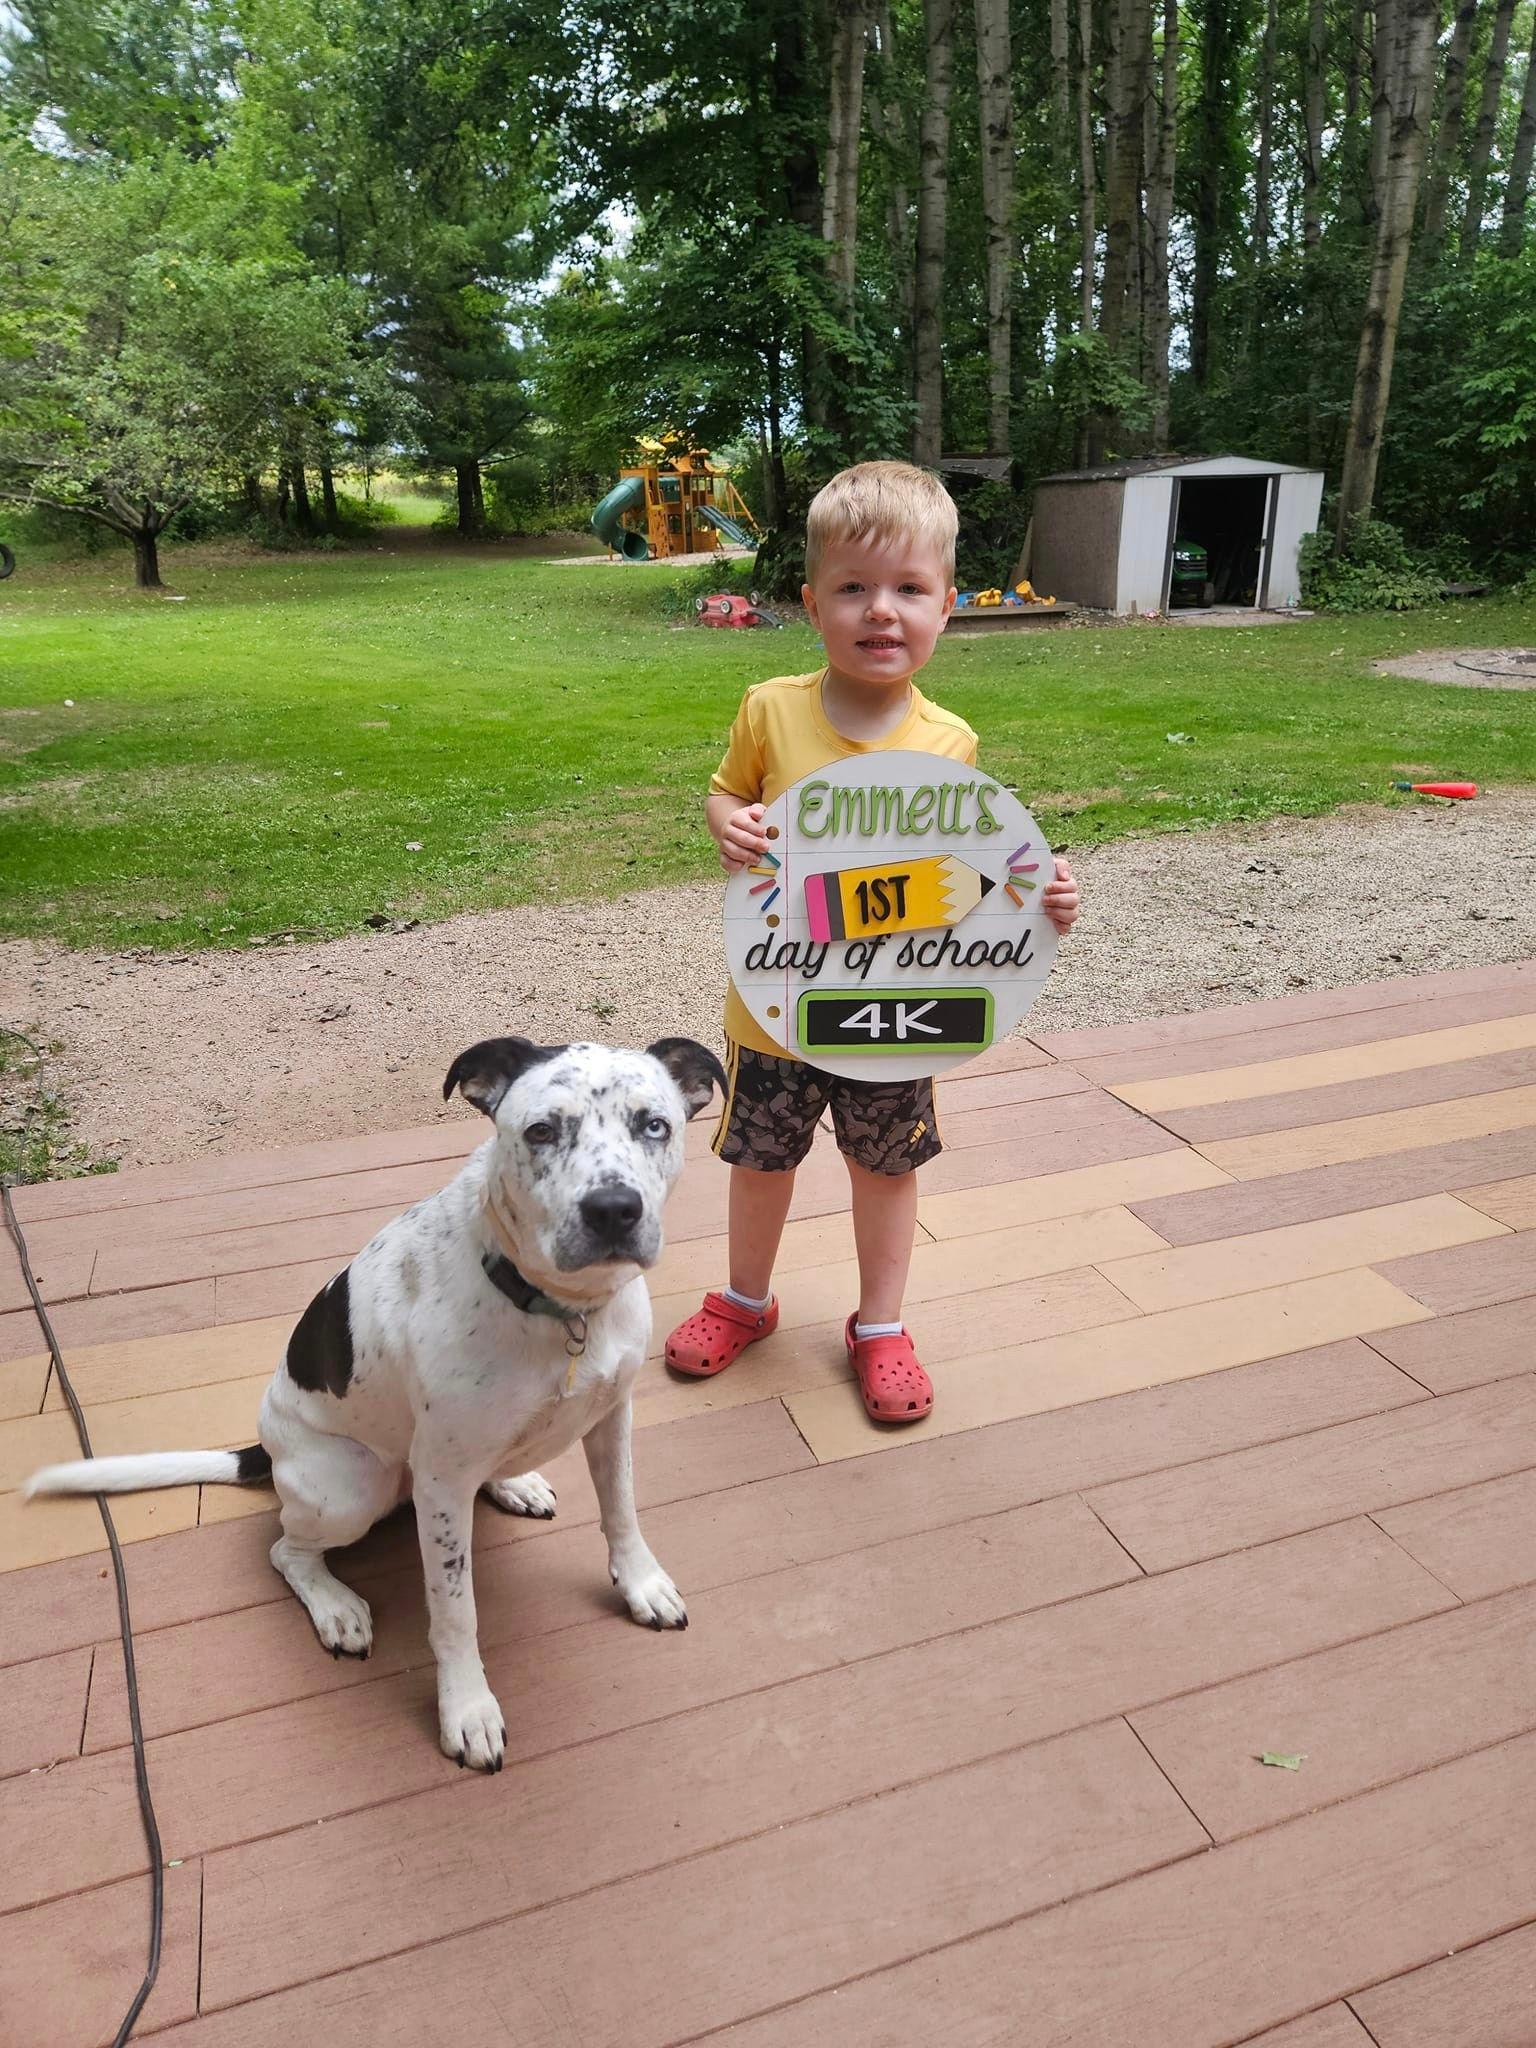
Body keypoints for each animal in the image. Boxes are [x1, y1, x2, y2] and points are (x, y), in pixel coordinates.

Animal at [28, 1040, 729, 1777]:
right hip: (353, 1490)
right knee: (286, 1550)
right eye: (540, 1130)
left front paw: (640, 1584)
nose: (614, 1209)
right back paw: (335, 1606)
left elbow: (622, 1512)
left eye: (654, 1124)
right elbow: (455, 1611)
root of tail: (265, 1450)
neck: (564, 1309)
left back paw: (515, 1483)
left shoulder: (612, 1417)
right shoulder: (443, 1489)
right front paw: (466, 1707)